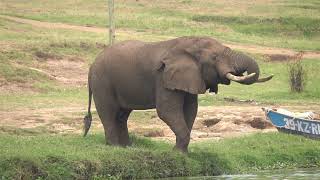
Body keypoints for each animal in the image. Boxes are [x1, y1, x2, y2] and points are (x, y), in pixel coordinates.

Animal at [83, 36, 272, 152]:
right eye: (215, 58)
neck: (189, 44)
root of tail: (91, 65)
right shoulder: (164, 77)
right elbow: (167, 111)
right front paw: (177, 153)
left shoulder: (191, 77)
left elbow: (191, 110)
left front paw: (182, 153)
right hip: (102, 82)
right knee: (109, 112)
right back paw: (115, 147)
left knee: (122, 115)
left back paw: (127, 148)